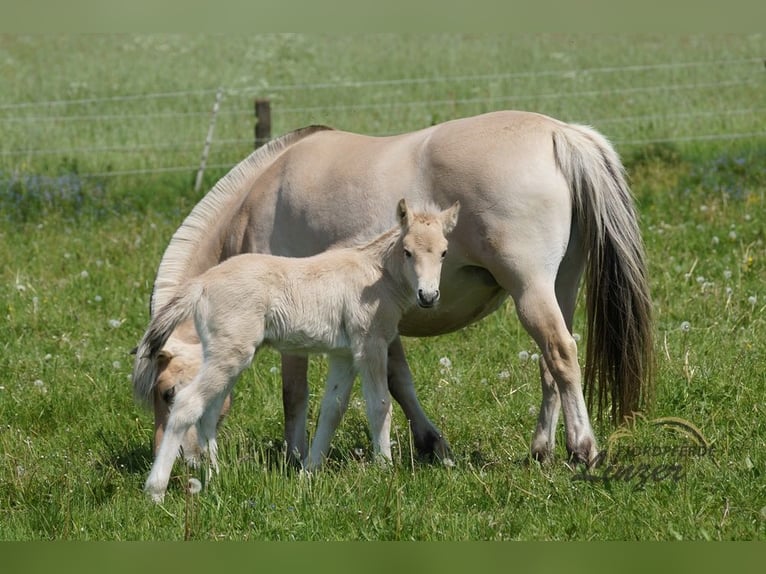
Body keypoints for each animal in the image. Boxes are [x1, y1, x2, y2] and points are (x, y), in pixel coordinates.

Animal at [134, 199, 462, 504]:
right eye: (407, 251)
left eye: (444, 252)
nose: (428, 296)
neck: (375, 274)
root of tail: (200, 283)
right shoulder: (371, 344)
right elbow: (379, 404)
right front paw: (383, 468)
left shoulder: (343, 354)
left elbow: (333, 408)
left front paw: (309, 470)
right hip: (229, 355)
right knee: (188, 405)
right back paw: (156, 491)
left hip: (228, 356)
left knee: (210, 411)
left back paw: (215, 475)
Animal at [140, 110, 656, 470]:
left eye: (167, 393)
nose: (176, 460)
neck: (258, 199)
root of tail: (558, 134)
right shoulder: (378, 325)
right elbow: (398, 381)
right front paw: (432, 444)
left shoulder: (298, 333)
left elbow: (295, 393)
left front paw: (295, 458)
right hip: (560, 286)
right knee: (553, 362)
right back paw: (542, 449)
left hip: (531, 289)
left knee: (561, 354)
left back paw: (583, 449)